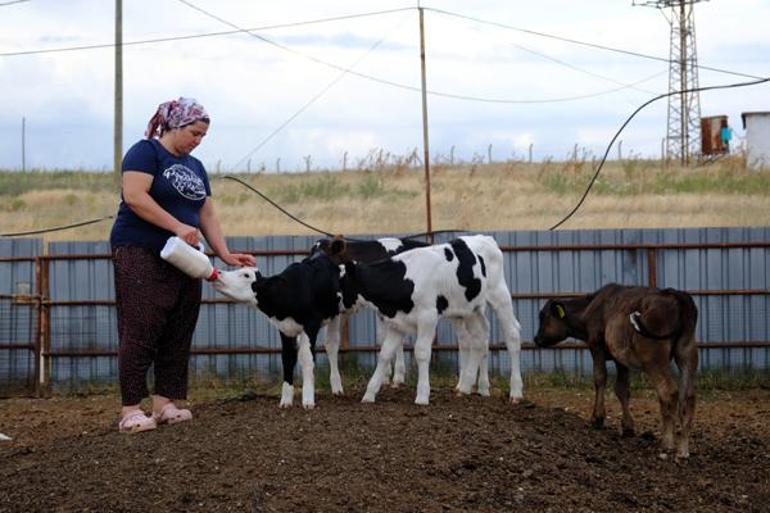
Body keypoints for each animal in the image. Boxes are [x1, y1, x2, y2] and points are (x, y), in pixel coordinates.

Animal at [210, 248, 342, 408]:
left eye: (246, 275)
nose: (219, 272)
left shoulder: (311, 325)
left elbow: (307, 358)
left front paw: (308, 400)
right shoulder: (285, 329)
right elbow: (288, 358)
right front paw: (286, 400)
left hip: (335, 314)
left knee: (332, 345)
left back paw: (337, 387)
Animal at [330, 233, 520, 404]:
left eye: (341, 283)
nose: (329, 304)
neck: (404, 278)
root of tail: (486, 238)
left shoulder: (428, 317)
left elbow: (421, 352)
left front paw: (422, 396)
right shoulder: (397, 323)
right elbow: (385, 354)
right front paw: (369, 394)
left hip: (499, 296)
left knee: (512, 335)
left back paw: (515, 392)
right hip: (471, 309)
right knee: (479, 339)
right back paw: (468, 386)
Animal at [536, 284, 696, 456]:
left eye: (542, 317)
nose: (536, 339)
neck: (590, 308)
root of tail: (674, 294)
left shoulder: (596, 345)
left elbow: (600, 378)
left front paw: (597, 418)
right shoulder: (620, 358)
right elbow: (622, 389)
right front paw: (627, 427)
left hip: (654, 361)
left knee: (669, 392)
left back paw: (667, 443)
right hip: (687, 353)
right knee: (688, 396)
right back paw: (683, 449)